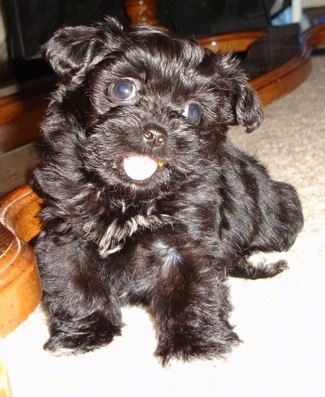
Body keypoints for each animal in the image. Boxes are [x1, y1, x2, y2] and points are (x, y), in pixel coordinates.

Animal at [31, 17, 302, 364]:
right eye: (123, 89)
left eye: (194, 111)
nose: (156, 133)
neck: (127, 199)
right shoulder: (68, 234)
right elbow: (76, 283)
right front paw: (84, 333)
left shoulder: (186, 242)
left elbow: (190, 289)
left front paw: (195, 343)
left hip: (278, 211)